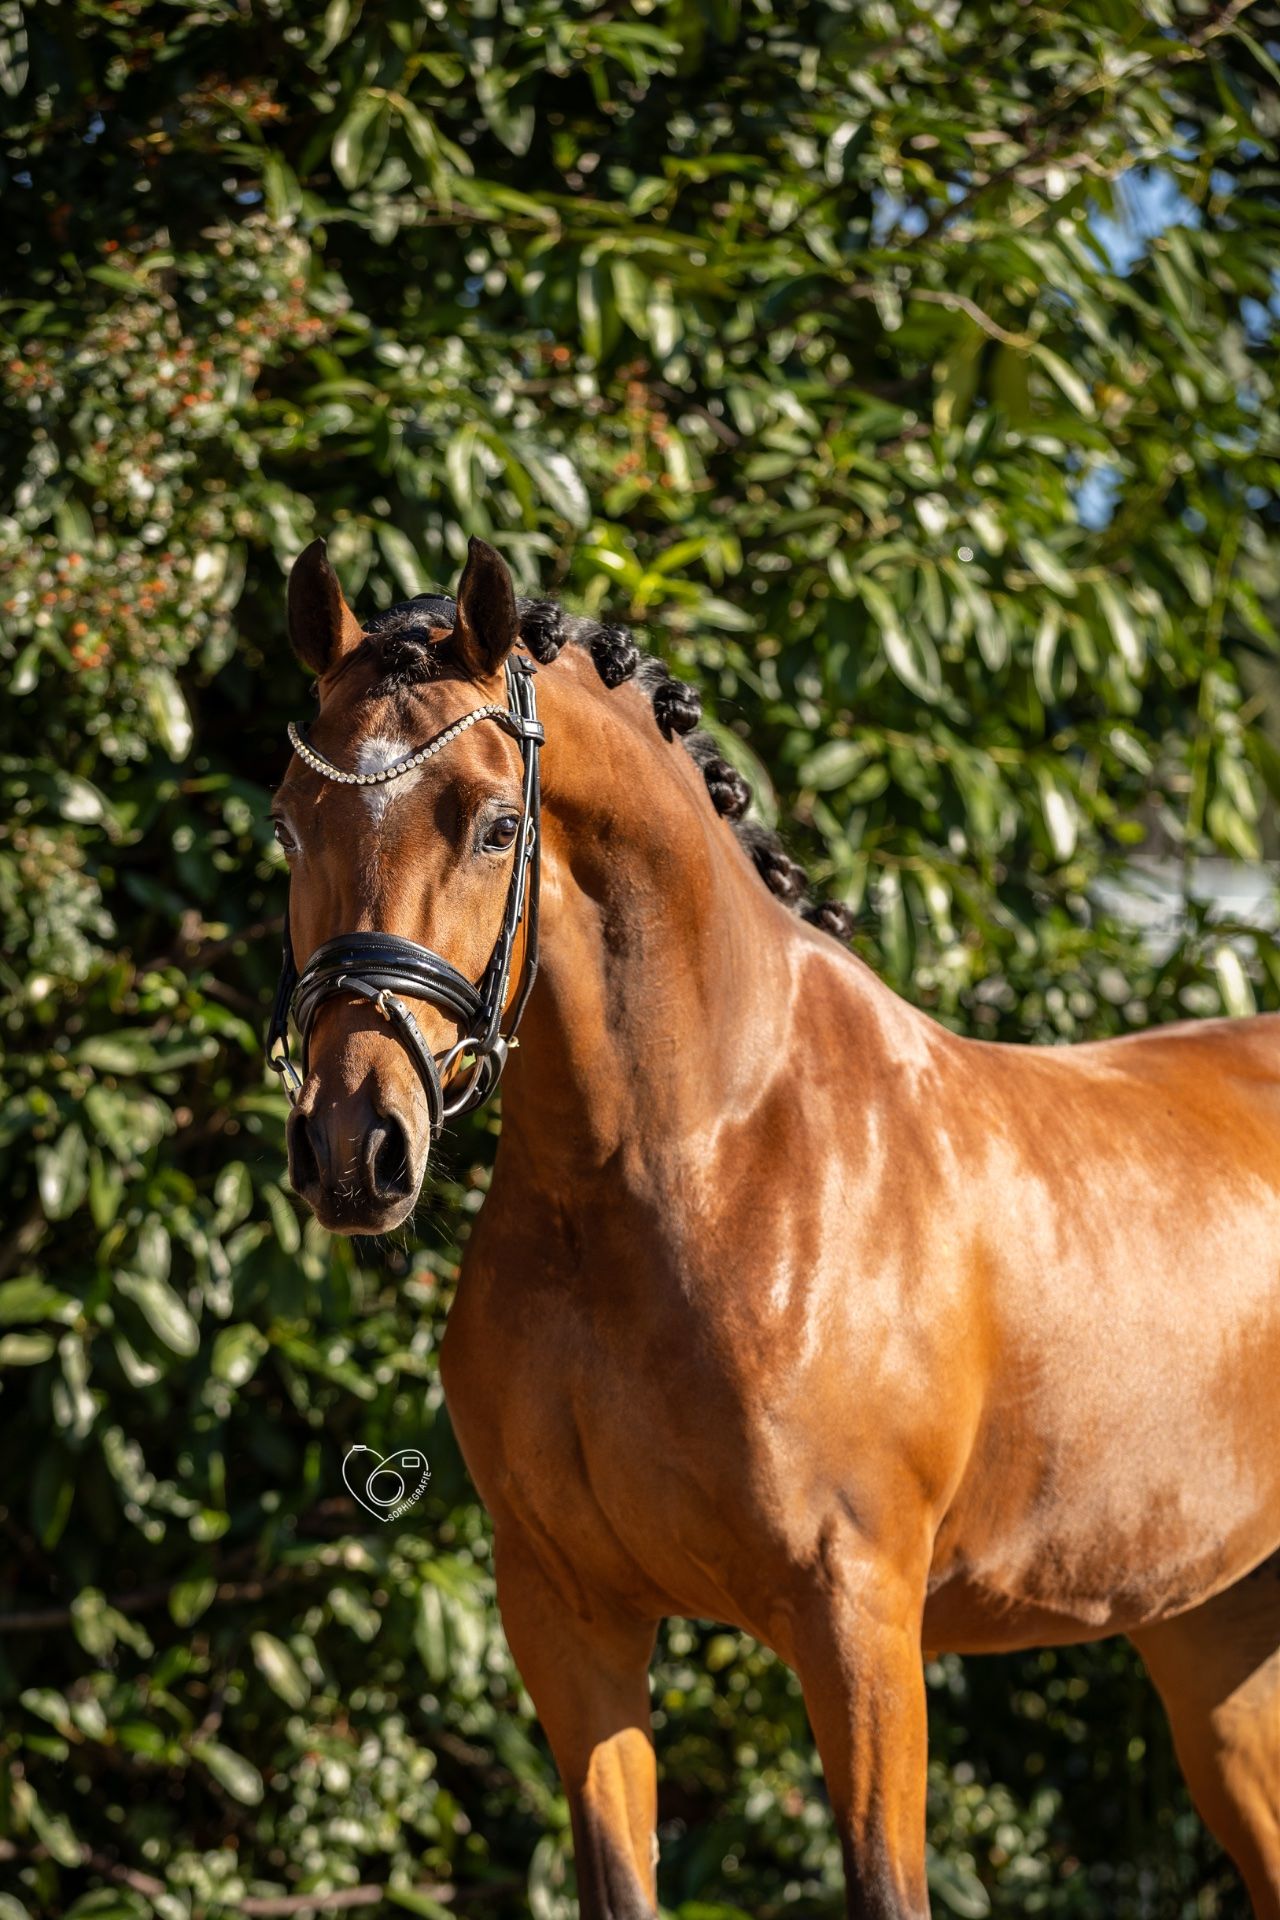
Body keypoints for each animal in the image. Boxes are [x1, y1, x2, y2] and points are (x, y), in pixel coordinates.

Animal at [267, 534, 1280, 1919]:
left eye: (491, 824)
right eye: (286, 821)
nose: (351, 1149)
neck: (700, 1162)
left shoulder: (857, 1625)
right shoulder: (567, 1616)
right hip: (1211, 1637)